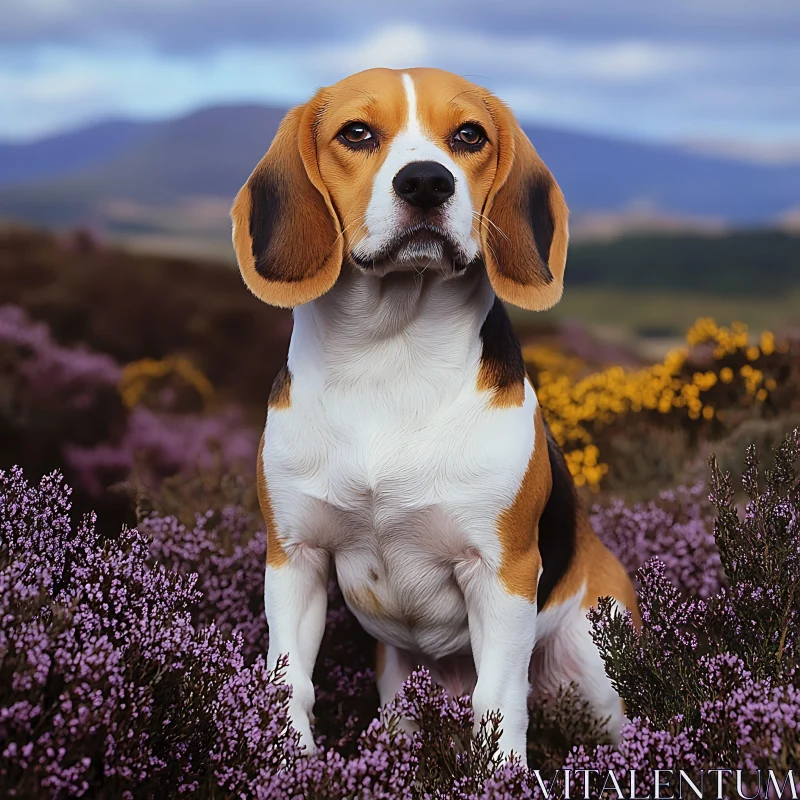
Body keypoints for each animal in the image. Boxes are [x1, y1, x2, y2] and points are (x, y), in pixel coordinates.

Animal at [230, 65, 636, 760]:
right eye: (356, 133)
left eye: (469, 135)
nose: (426, 181)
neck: (391, 359)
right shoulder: (294, 559)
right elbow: (291, 684)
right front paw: (294, 764)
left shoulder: (502, 574)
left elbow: (497, 705)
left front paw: (500, 773)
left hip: (595, 657)